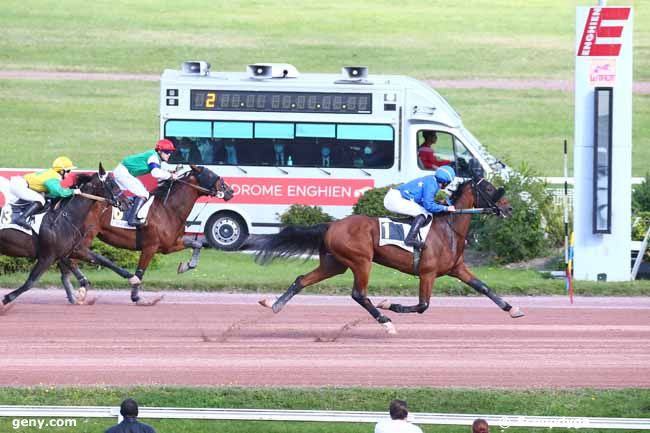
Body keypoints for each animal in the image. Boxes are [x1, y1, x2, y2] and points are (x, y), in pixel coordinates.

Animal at [0, 164, 130, 308]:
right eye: (112, 184)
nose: (128, 202)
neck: (65, 217)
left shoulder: (70, 251)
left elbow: (102, 260)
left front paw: (132, 278)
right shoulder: (47, 257)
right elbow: (30, 282)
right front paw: (7, 298)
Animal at [71, 164, 233, 302]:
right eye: (211, 174)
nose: (230, 191)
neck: (168, 209)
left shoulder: (170, 245)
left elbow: (197, 244)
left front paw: (186, 265)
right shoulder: (150, 247)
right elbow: (140, 271)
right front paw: (135, 296)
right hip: (86, 235)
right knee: (74, 257)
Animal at [256, 172, 524, 334]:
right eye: (488, 187)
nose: (509, 209)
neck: (449, 228)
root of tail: (331, 225)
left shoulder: (457, 269)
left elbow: (484, 287)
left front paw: (513, 309)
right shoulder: (427, 273)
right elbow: (423, 305)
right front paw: (390, 305)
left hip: (335, 264)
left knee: (302, 279)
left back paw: (274, 304)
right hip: (361, 261)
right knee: (359, 294)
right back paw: (386, 322)